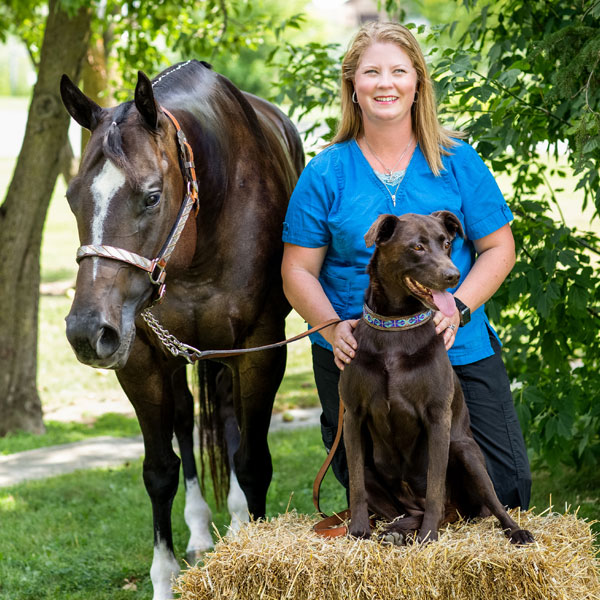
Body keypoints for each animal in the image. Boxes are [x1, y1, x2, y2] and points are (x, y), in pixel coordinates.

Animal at [60, 62, 302, 600]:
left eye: (152, 196)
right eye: (70, 198)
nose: (87, 331)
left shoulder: (260, 347)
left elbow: (252, 461)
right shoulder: (140, 358)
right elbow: (159, 471)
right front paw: (164, 577)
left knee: (228, 421)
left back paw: (238, 523)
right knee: (187, 419)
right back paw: (198, 528)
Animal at [340, 213, 532, 548]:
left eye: (446, 244)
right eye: (417, 246)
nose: (453, 275)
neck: (397, 327)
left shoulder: (437, 418)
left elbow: (434, 490)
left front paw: (428, 536)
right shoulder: (353, 415)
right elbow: (357, 488)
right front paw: (359, 529)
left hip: (465, 452)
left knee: (477, 505)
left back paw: (514, 530)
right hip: (374, 468)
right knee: (404, 510)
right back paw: (396, 530)